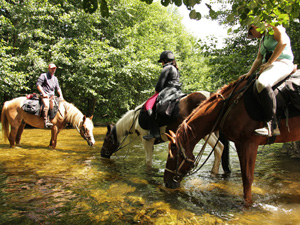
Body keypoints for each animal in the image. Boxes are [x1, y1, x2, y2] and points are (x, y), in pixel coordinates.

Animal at [101, 91, 230, 174]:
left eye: (107, 139)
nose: (102, 154)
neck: (135, 120)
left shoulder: (147, 141)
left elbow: (148, 162)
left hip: (206, 133)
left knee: (219, 148)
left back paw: (213, 173)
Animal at [164, 74, 300, 207]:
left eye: (171, 156)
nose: (166, 182)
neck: (228, 107)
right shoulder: (240, 144)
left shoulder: (249, 143)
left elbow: (247, 178)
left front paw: (248, 205)